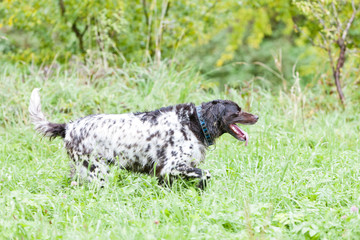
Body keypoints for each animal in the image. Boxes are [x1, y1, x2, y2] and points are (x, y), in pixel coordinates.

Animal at [28, 88, 258, 188]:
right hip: (97, 172)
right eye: (237, 111)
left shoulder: (166, 172)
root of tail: (69, 126)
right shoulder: (172, 165)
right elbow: (205, 174)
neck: (194, 122)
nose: (257, 116)